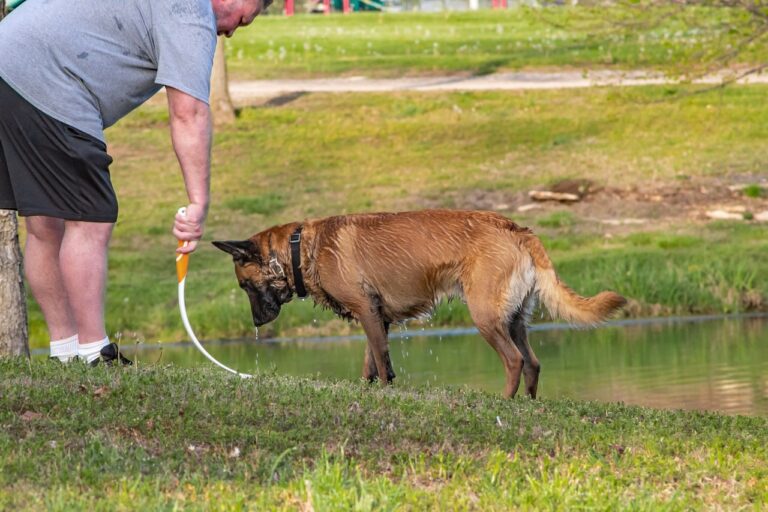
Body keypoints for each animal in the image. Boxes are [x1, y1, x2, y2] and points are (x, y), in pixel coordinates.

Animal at [213, 210, 628, 398]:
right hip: (512, 318)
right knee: (534, 363)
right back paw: (526, 404)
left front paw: (384, 392)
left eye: (244, 285)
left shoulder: (368, 313)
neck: (303, 248)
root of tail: (518, 229)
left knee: (515, 361)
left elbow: (381, 363)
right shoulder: (375, 316)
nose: (257, 323)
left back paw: (505, 403)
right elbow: (370, 363)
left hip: (485, 317)